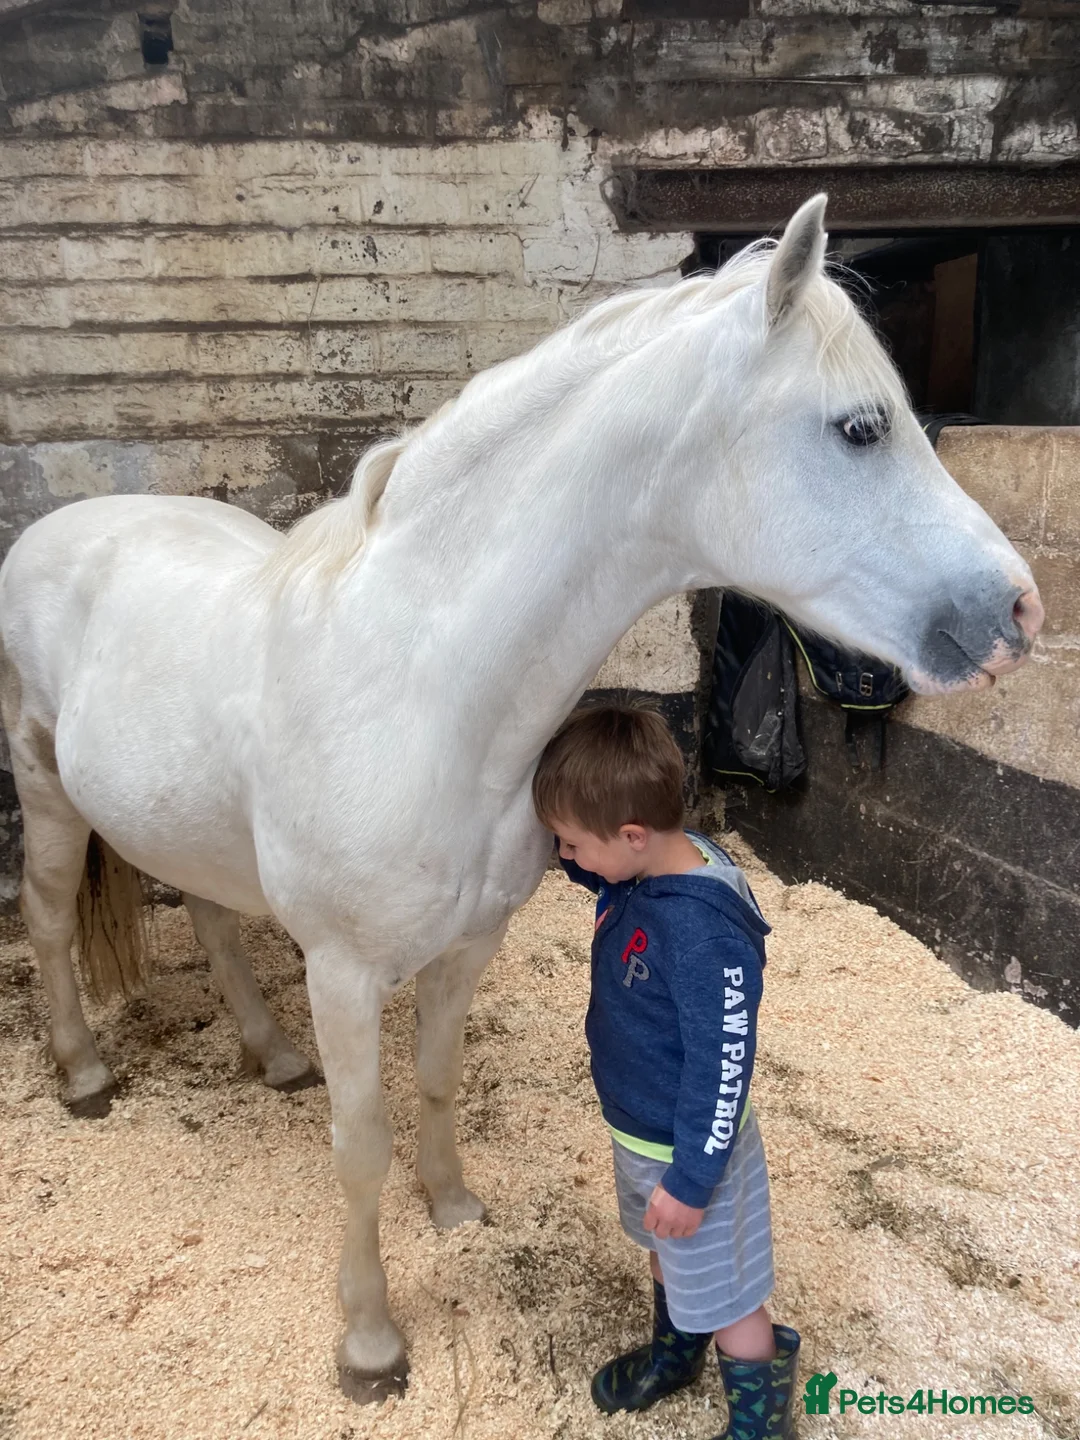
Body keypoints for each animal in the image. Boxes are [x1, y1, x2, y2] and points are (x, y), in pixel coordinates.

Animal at [0, 196, 1043, 1400]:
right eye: (861, 428)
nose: (1021, 610)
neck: (420, 693)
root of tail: (59, 529)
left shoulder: (468, 946)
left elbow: (438, 1078)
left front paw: (452, 1205)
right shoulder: (346, 973)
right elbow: (360, 1149)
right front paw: (369, 1342)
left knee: (212, 916)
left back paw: (271, 1055)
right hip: (46, 792)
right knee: (47, 920)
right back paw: (83, 1073)